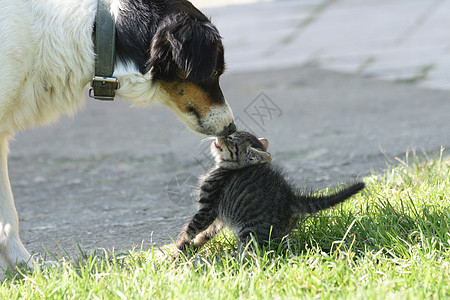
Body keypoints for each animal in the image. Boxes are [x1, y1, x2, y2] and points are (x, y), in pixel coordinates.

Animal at [176, 131, 366, 251]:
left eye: (231, 137)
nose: (221, 133)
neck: (226, 168)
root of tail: (290, 197)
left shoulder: (208, 208)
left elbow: (191, 228)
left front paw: (178, 247)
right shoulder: (218, 217)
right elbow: (207, 233)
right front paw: (193, 246)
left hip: (249, 233)